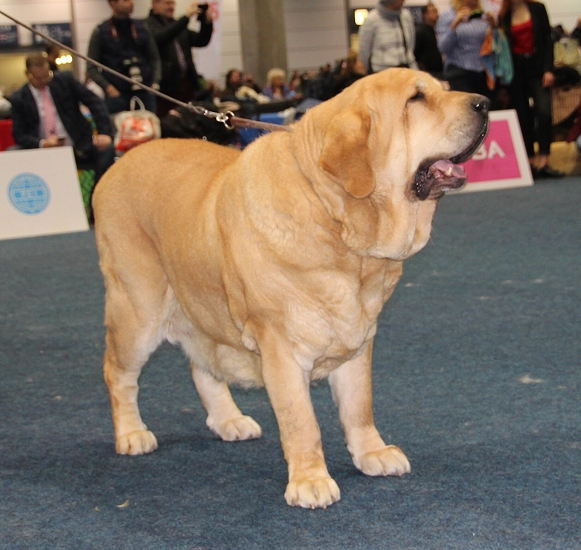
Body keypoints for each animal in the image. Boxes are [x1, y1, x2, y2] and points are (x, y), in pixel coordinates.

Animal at [93, 68, 488, 508]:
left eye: (443, 88)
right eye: (415, 100)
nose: (485, 103)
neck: (336, 221)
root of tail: (117, 166)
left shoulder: (358, 342)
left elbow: (359, 407)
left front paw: (372, 453)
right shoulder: (282, 348)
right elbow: (302, 421)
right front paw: (310, 480)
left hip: (203, 307)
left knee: (203, 366)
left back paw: (229, 420)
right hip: (138, 312)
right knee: (118, 373)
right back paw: (132, 434)